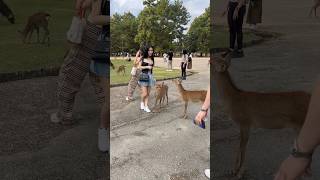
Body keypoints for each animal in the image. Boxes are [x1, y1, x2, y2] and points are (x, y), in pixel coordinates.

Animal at [211, 51, 312, 179]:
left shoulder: (245, 122)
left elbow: (242, 146)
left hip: (302, 122)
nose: (209, 58)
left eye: (210, 62)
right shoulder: (243, 125)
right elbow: (240, 145)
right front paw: (233, 170)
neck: (233, 99)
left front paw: (239, 172)